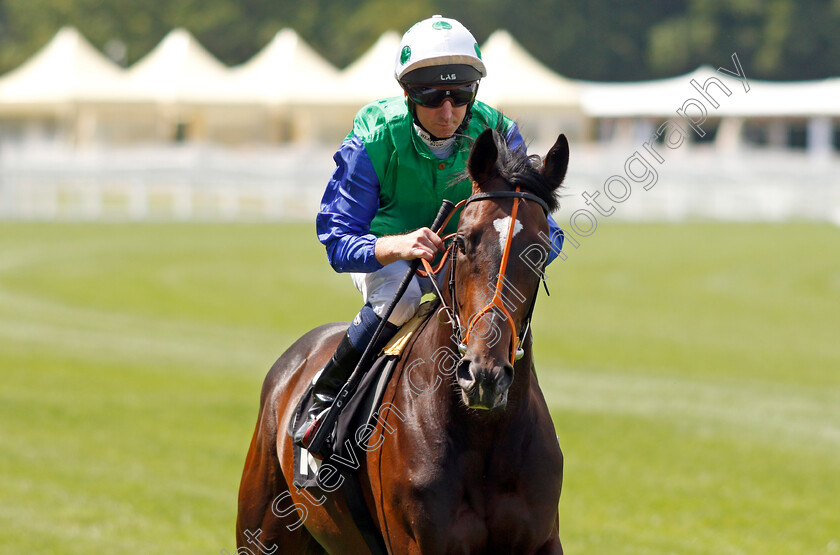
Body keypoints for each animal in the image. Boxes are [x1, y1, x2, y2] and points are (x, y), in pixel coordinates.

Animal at [233, 129, 568, 555]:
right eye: (463, 242)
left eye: (541, 250)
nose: (484, 375)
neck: (484, 434)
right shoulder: (418, 543)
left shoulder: (541, 540)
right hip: (263, 529)